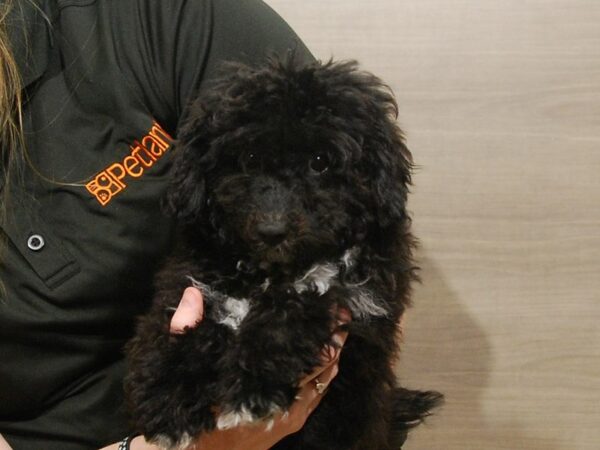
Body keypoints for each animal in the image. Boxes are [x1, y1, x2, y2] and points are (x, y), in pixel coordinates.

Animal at [124, 54, 442, 448]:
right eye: (248, 157)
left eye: (321, 161)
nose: (272, 231)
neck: (268, 272)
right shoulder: (192, 283)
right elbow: (171, 331)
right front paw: (168, 399)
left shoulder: (355, 295)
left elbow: (291, 312)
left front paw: (251, 390)